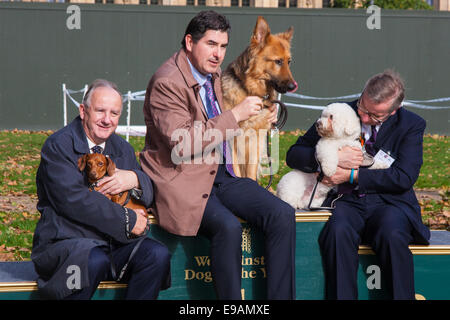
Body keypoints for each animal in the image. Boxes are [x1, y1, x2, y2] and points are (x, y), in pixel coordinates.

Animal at [222, 16, 298, 182]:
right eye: (278, 61)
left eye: (289, 61)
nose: (293, 86)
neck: (250, 91)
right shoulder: (233, 144)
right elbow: (236, 172)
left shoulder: (255, 142)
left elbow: (250, 176)